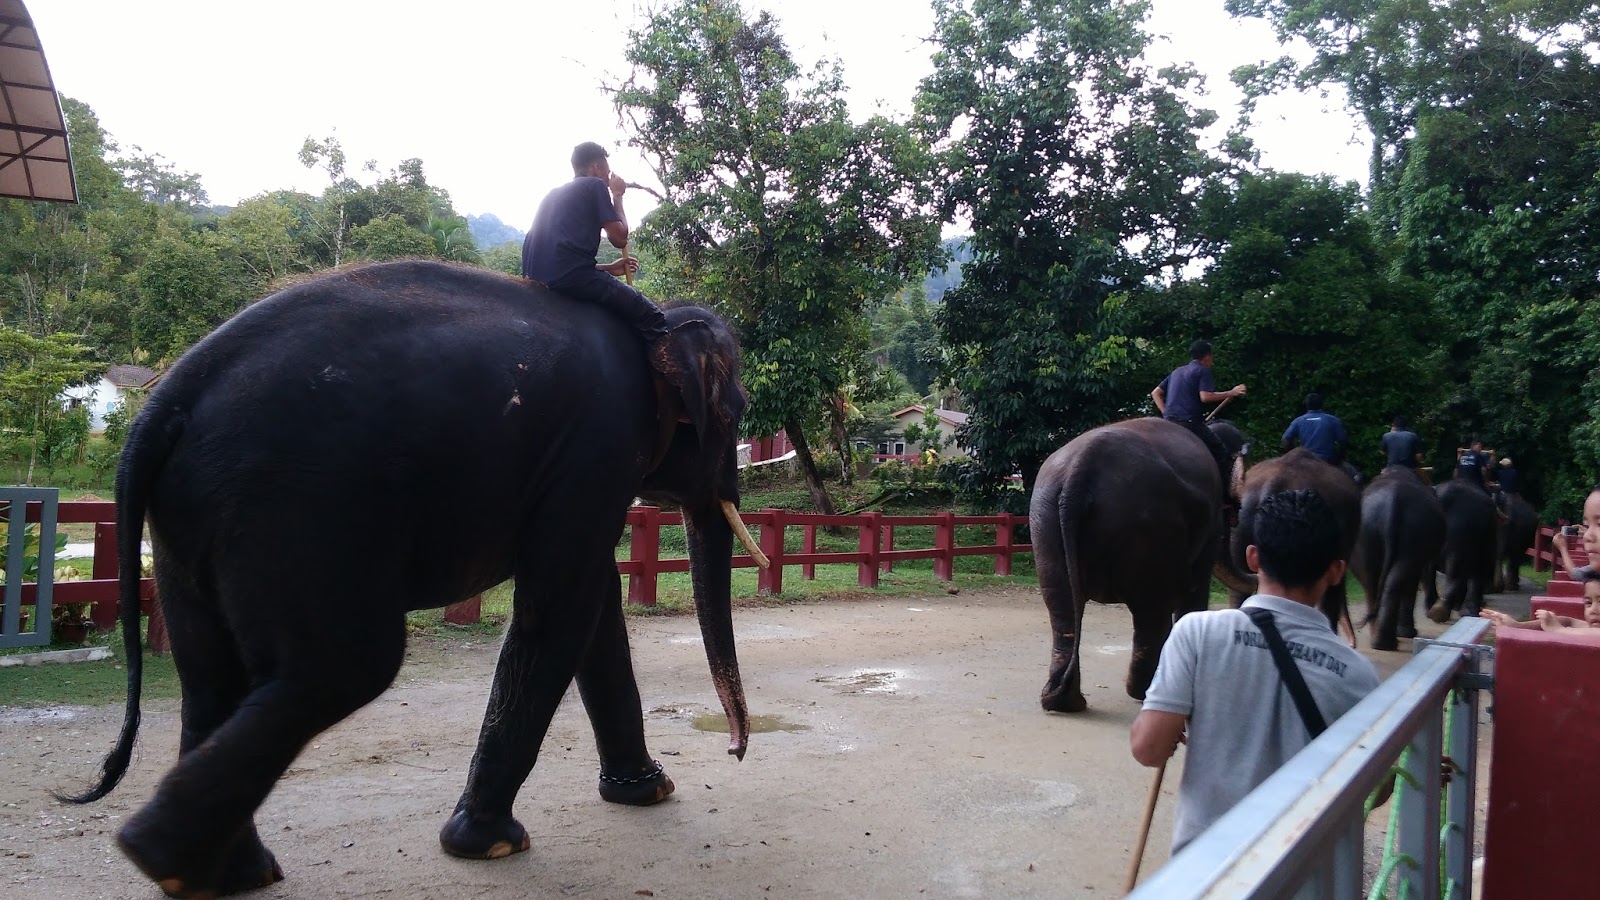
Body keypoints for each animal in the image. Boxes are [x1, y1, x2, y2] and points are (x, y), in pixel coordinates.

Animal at [62, 260, 758, 898]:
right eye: (739, 411)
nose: (735, 752)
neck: (655, 326)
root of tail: (165, 400)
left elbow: (591, 598)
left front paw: (650, 791)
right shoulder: (600, 443)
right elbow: (562, 602)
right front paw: (490, 844)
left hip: (190, 522)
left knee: (211, 678)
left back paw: (220, 874)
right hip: (294, 509)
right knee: (345, 666)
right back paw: (164, 857)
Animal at [1032, 417, 1248, 713]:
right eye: (1236, 504)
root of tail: (1082, 466)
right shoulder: (1211, 518)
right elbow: (1195, 587)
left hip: (1045, 520)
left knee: (1061, 605)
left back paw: (1065, 702)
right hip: (1151, 527)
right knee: (1151, 608)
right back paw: (1144, 690)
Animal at [1351, 466, 1447, 651]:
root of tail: (1392, 502)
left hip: (1367, 533)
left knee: (1371, 580)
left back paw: (1379, 641)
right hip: (1415, 534)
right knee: (1396, 579)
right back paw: (1390, 641)